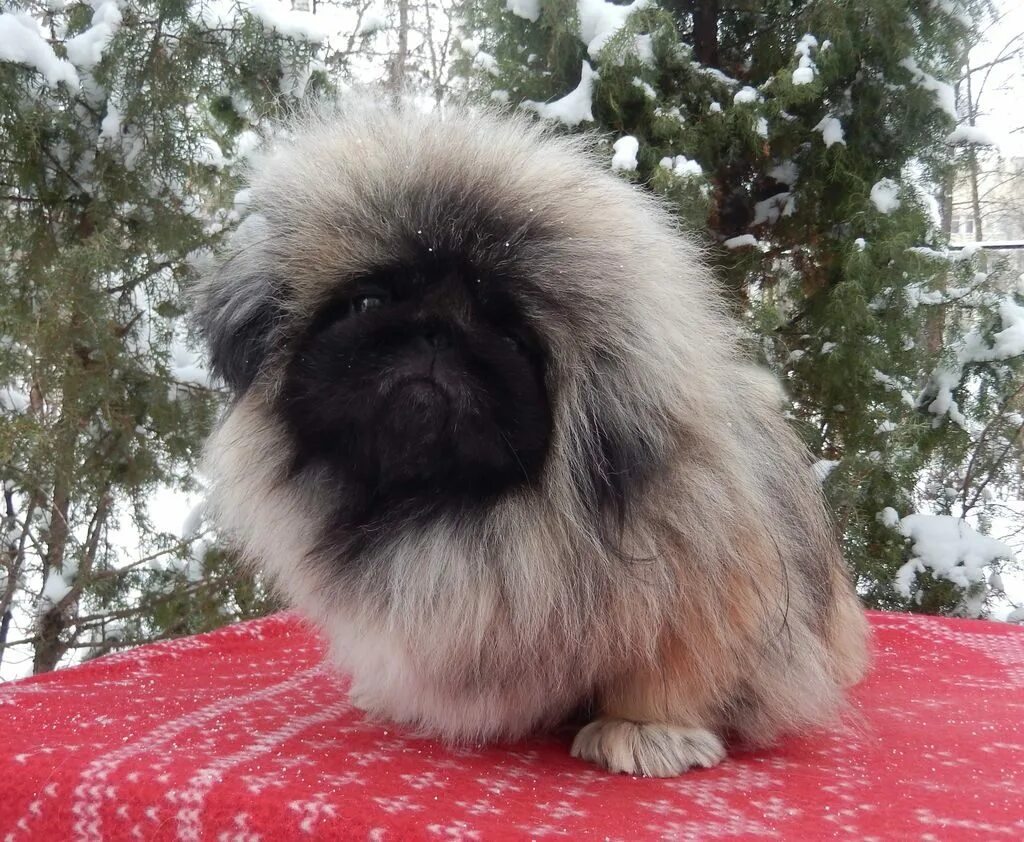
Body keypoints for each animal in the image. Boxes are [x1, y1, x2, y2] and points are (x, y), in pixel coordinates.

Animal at [195, 102, 868, 782]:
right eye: (367, 301)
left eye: (513, 338)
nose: (436, 333)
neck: (448, 510)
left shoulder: (713, 583)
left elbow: (673, 659)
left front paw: (645, 728)